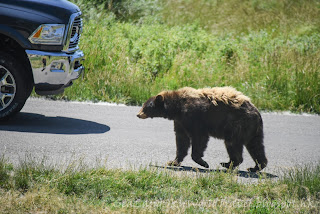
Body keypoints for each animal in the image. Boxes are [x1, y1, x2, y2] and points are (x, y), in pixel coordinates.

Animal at [137, 87, 268, 172]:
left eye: (146, 107)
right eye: (143, 105)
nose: (138, 114)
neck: (177, 108)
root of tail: (257, 112)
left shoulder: (194, 116)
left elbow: (199, 137)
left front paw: (203, 163)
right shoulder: (180, 122)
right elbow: (181, 141)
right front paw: (173, 161)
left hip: (237, 125)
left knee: (233, 144)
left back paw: (228, 164)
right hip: (252, 131)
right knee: (256, 147)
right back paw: (254, 167)